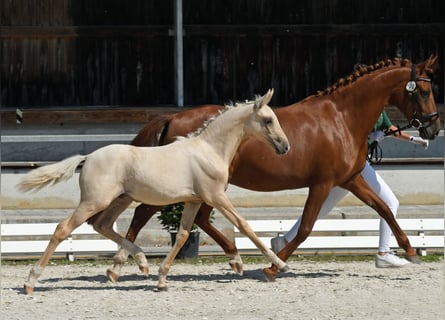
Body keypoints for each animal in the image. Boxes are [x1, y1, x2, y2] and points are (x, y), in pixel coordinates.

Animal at [16, 89, 288, 294]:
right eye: (268, 120)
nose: (285, 146)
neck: (208, 150)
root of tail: (89, 157)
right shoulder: (216, 196)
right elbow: (244, 225)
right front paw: (278, 265)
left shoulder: (193, 200)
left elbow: (182, 235)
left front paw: (161, 279)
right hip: (95, 201)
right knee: (64, 228)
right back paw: (30, 282)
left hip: (120, 200)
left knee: (102, 225)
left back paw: (140, 262)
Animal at [106, 56, 438, 282]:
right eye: (422, 92)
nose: (432, 129)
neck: (342, 118)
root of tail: (172, 118)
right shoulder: (322, 183)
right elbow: (306, 228)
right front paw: (273, 266)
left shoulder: (350, 179)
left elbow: (384, 208)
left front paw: (409, 251)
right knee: (144, 214)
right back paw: (120, 266)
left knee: (193, 218)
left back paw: (233, 258)